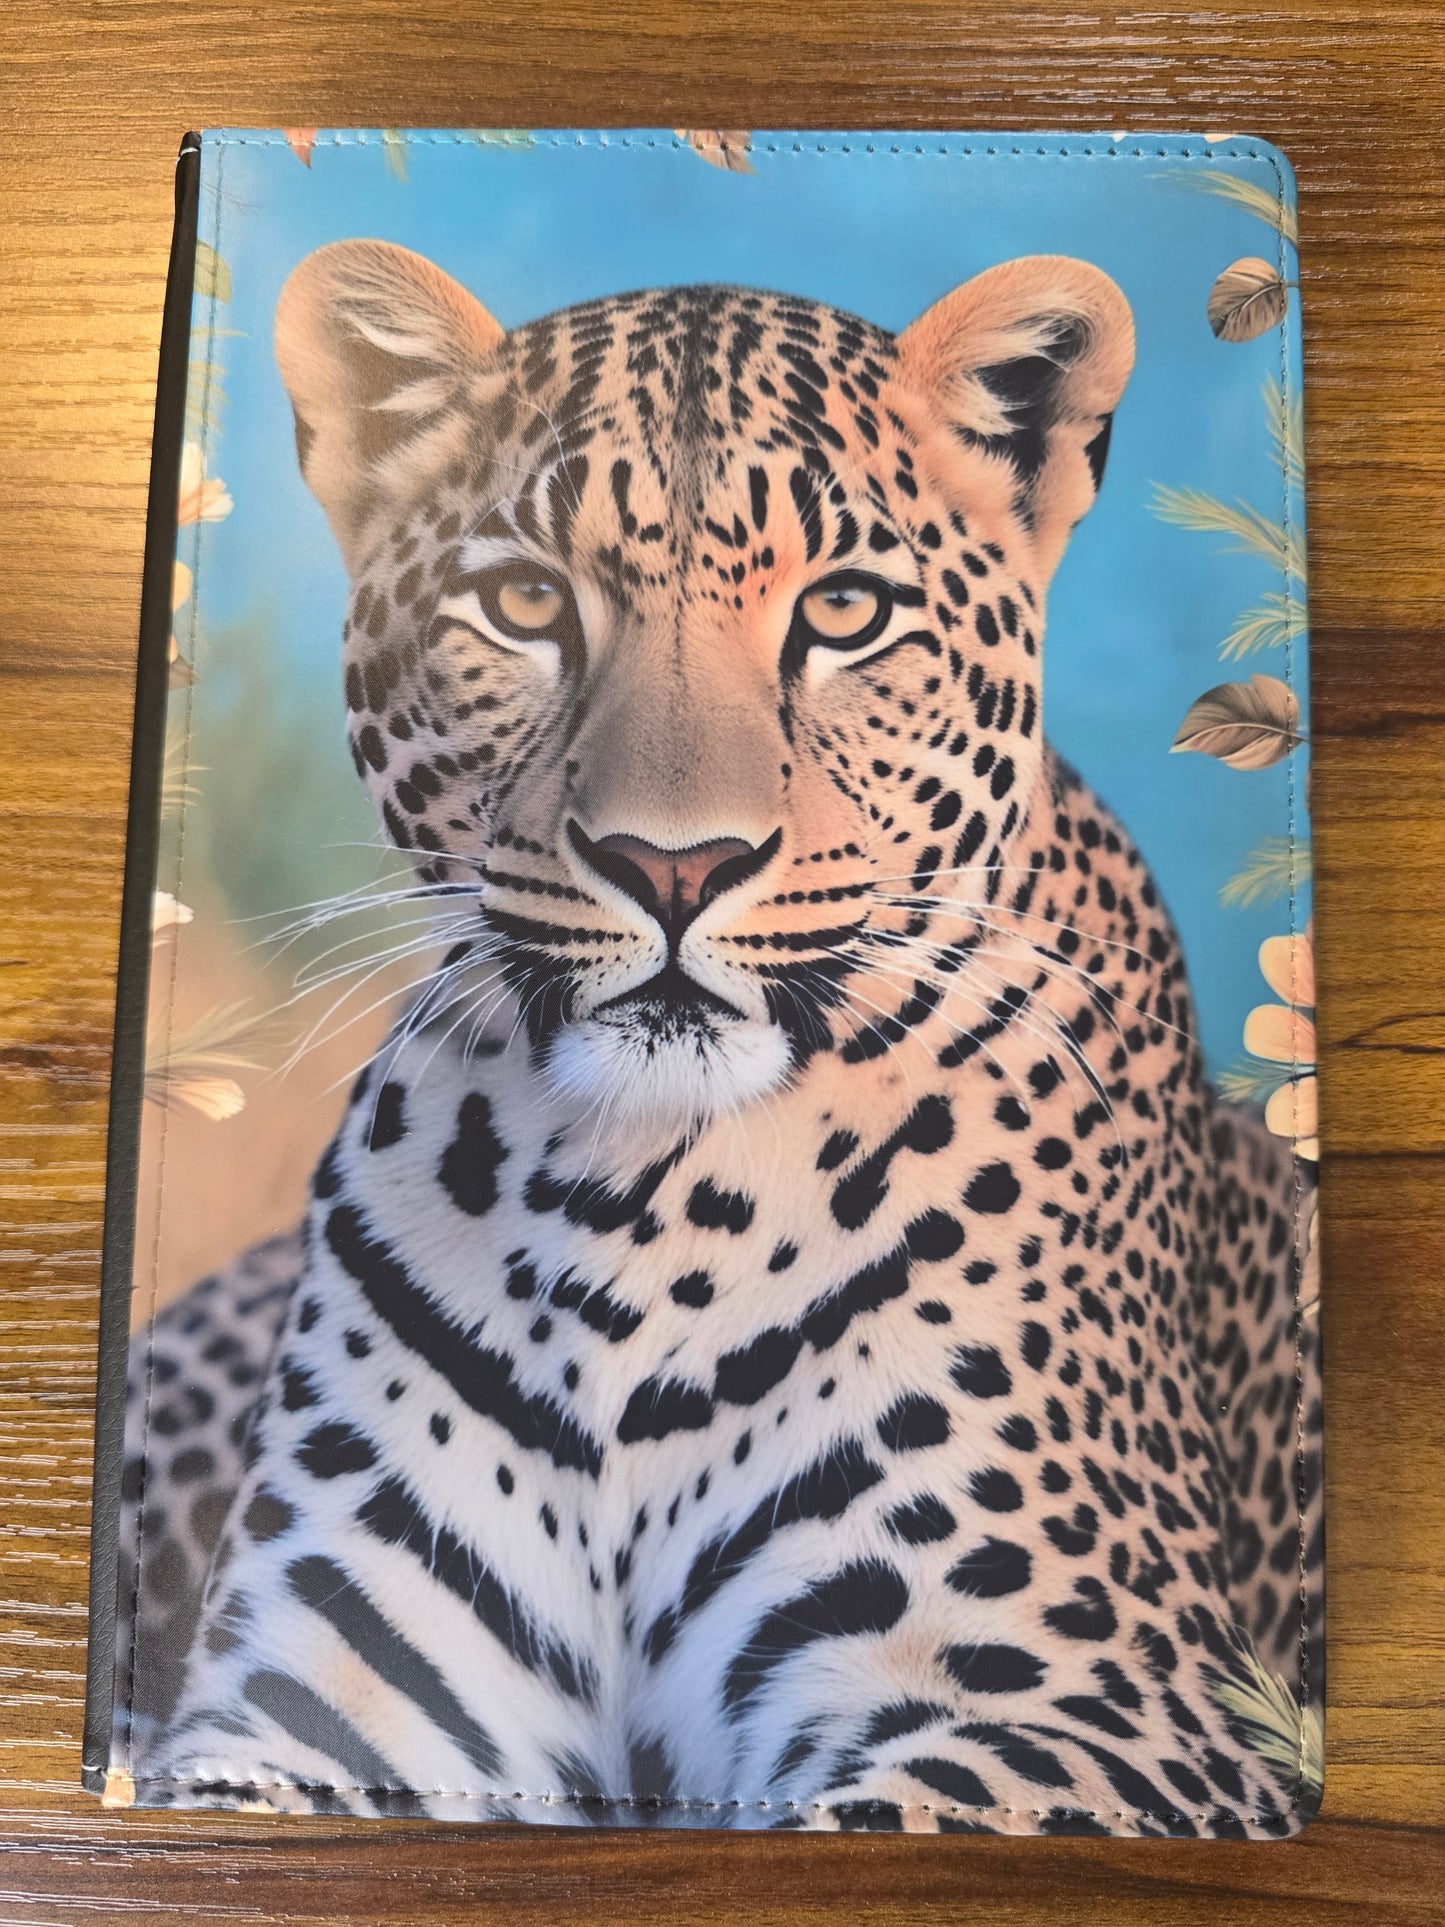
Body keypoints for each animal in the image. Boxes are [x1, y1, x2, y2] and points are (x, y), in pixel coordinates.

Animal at [109, 241, 1323, 1835]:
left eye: (847, 611)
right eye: (523, 602)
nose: (672, 865)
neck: (640, 1207)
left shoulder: (1100, 1717)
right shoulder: (329, 1704)